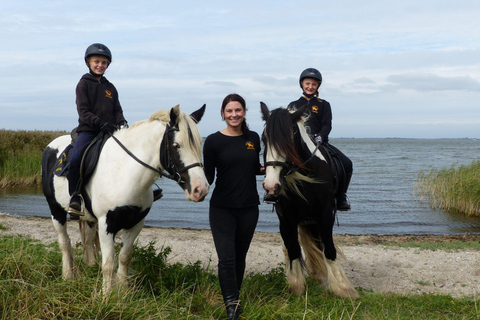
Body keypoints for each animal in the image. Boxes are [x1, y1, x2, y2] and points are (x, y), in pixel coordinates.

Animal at [43, 105, 210, 292]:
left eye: (199, 144)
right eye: (176, 145)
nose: (200, 189)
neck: (125, 172)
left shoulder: (135, 223)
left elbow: (124, 258)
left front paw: (123, 291)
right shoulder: (106, 224)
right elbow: (109, 264)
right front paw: (106, 295)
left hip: (88, 218)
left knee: (88, 239)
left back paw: (90, 266)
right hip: (55, 210)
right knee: (65, 242)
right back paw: (68, 276)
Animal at [260, 103, 358, 300]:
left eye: (289, 139)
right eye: (263, 138)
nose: (271, 186)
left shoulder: (325, 216)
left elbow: (328, 249)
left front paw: (342, 288)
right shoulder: (286, 219)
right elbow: (293, 250)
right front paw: (296, 286)